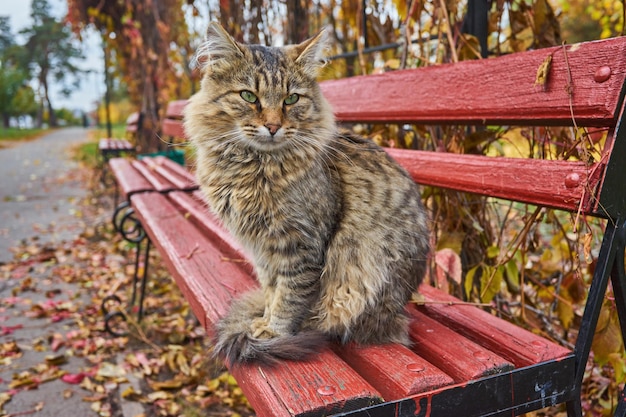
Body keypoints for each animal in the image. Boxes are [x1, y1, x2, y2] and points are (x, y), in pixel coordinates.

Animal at [182, 22, 428, 364]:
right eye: (249, 96)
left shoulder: (300, 245)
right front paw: (264, 319)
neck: (253, 167)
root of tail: (399, 314)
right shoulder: (262, 250)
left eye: (291, 99)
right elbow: (272, 289)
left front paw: (273, 332)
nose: (273, 126)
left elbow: (289, 296)